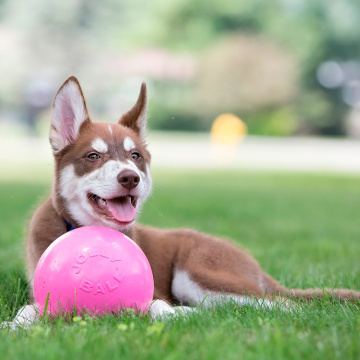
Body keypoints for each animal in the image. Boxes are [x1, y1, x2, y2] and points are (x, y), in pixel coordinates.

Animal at [5, 76, 360, 330]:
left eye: (135, 156)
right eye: (94, 156)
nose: (130, 178)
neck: (80, 227)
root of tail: (250, 262)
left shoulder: (158, 291)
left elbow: (157, 306)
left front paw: (175, 314)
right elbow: (28, 309)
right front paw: (14, 325)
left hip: (198, 273)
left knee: (280, 306)